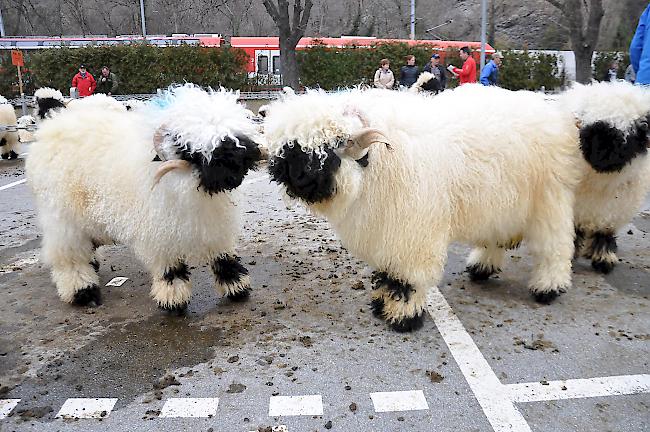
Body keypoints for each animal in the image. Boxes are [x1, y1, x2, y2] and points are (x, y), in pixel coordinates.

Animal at [28, 84, 264, 312]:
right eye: (188, 149)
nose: (236, 171)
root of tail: (55, 119)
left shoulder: (215, 224)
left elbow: (223, 257)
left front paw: (237, 287)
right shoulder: (158, 232)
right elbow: (170, 268)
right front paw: (173, 299)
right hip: (62, 217)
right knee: (68, 256)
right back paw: (83, 292)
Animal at [264, 86, 584, 332]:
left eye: (326, 152)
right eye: (288, 147)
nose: (286, 174)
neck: (378, 162)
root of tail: (551, 110)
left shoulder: (412, 234)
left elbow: (407, 279)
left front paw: (401, 317)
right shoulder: (388, 230)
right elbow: (387, 272)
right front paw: (381, 304)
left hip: (549, 199)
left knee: (555, 246)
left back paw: (548, 287)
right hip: (503, 202)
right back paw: (481, 266)